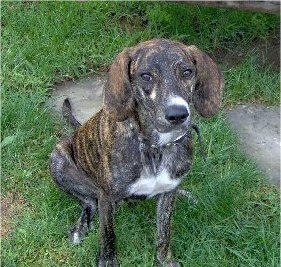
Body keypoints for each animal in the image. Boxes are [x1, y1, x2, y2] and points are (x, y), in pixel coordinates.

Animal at [49, 38, 222, 266]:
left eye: (187, 72)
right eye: (145, 75)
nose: (178, 114)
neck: (155, 146)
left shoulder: (168, 194)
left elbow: (164, 234)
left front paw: (165, 260)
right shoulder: (107, 197)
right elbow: (108, 235)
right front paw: (107, 261)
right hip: (58, 159)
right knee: (88, 201)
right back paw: (80, 228)